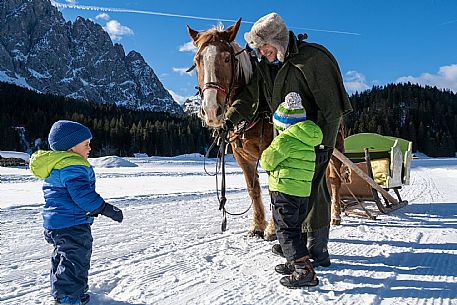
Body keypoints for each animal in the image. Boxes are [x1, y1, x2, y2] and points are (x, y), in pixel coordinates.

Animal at [184, 19, 274, 238]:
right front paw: (257, 226)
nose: (210, 110)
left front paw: (273, 228)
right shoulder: (242, 157)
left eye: (226, 59)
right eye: (197, 60)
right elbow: (253, 189)